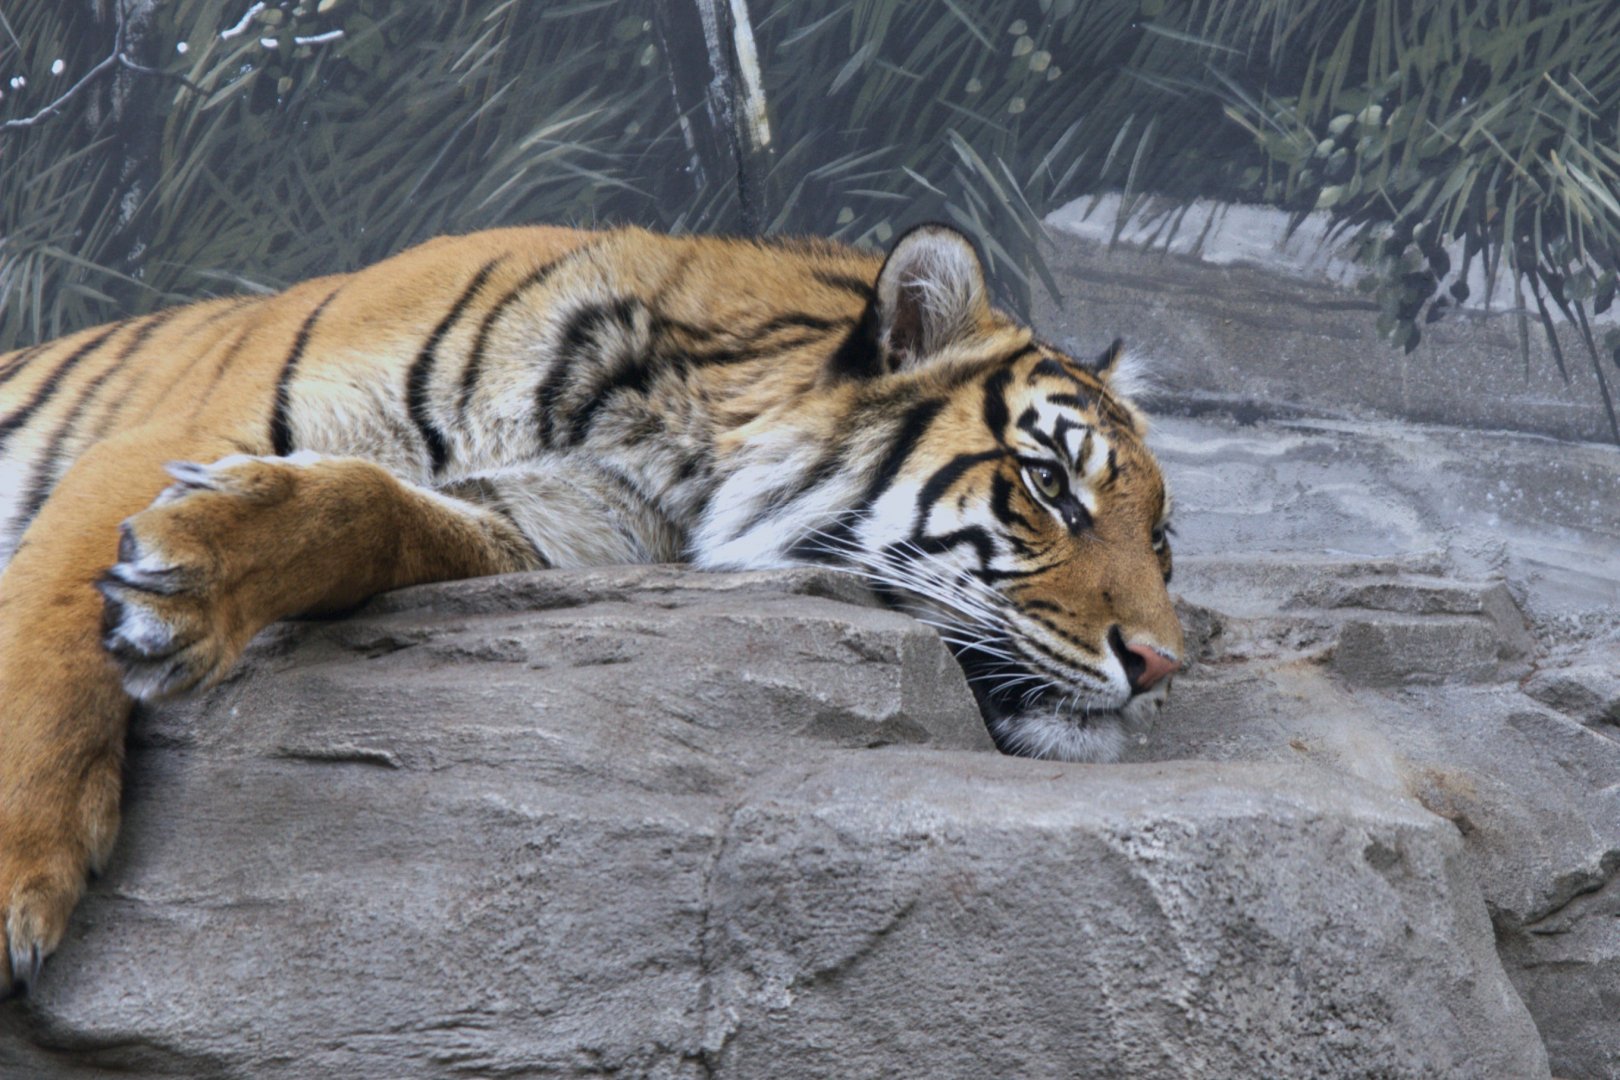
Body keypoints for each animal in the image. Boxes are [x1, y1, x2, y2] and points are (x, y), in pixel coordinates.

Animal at [0, 223, 1183, 995]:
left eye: (1163, 538)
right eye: (1050, 485)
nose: (1164, 666)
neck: (674, 441)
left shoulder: (549, 526)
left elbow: (373, 510)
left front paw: (197, 571)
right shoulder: (159, 438)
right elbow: (48, 640)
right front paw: (15, 887)